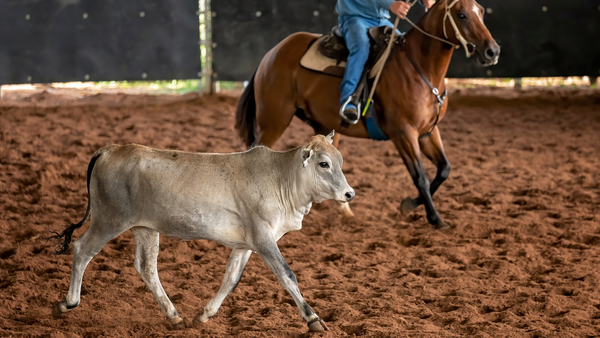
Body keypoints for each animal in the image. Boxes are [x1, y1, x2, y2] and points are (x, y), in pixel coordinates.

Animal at [51, 133, 354, 332]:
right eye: (323, 163)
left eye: (339, 160)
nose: (349, 193)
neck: (280, 178)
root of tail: (110, 149)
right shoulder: (263, 237)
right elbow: (287, 275)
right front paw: (313, 319)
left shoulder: (245, 244)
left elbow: (230, 280)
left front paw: (204, 316)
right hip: (108, 220)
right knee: (81, 250)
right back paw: (68, 303)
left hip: (145, 228)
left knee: (146, 267)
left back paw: (174, 316)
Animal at [237, 0, 500, 230]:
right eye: (461, 15)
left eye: (481, 11)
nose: (492, 51)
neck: (419, 70)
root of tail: (271, 54)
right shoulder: (403, 134)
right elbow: (421, 177)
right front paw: (435, 219)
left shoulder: (427, 132)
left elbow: (444, 169)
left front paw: (409, 205)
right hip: (273, 121)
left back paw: (344, 211)